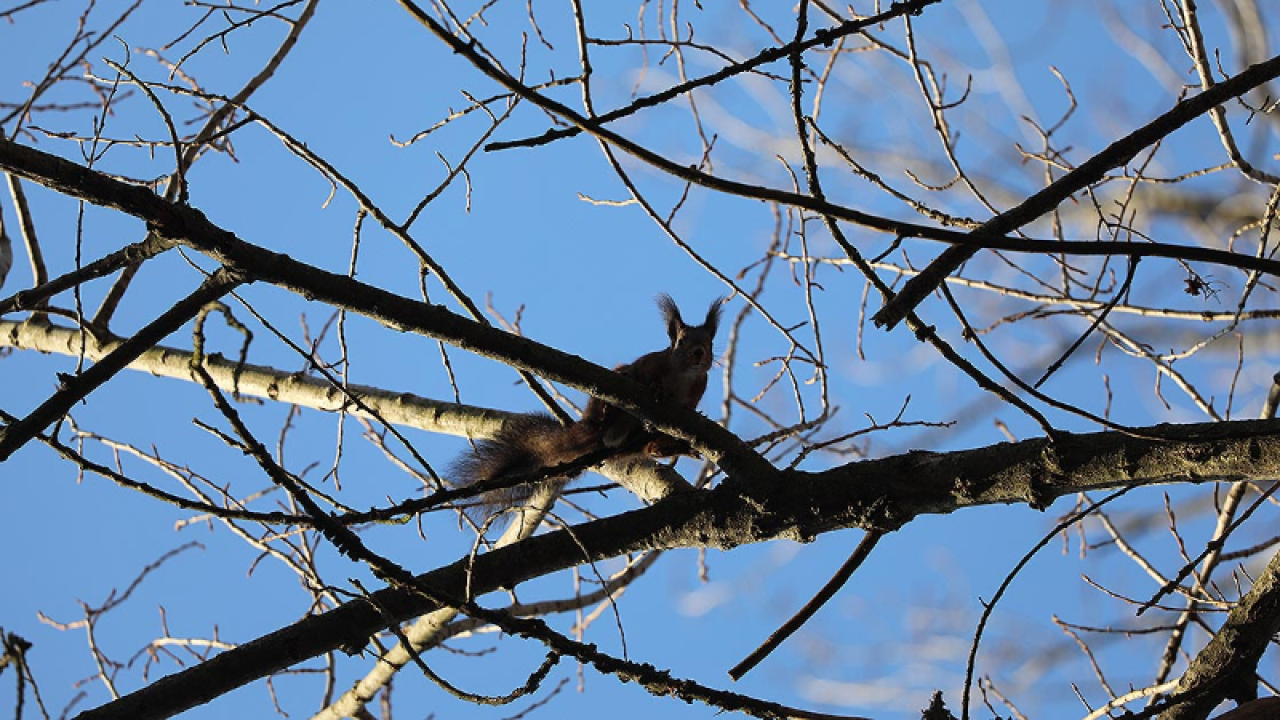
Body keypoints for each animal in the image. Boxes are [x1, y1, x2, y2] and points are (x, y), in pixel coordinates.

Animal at [453, 292, 727, 520]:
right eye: (680, 342)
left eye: (710, 343)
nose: (699, 352)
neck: (684, 376)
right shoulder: (649, 364)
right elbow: (645, 374)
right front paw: (657, 388)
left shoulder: (697, 389)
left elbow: (690, 407)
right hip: (611, 391)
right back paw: (608, 412)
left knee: (651, 447)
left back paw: (673, 446)